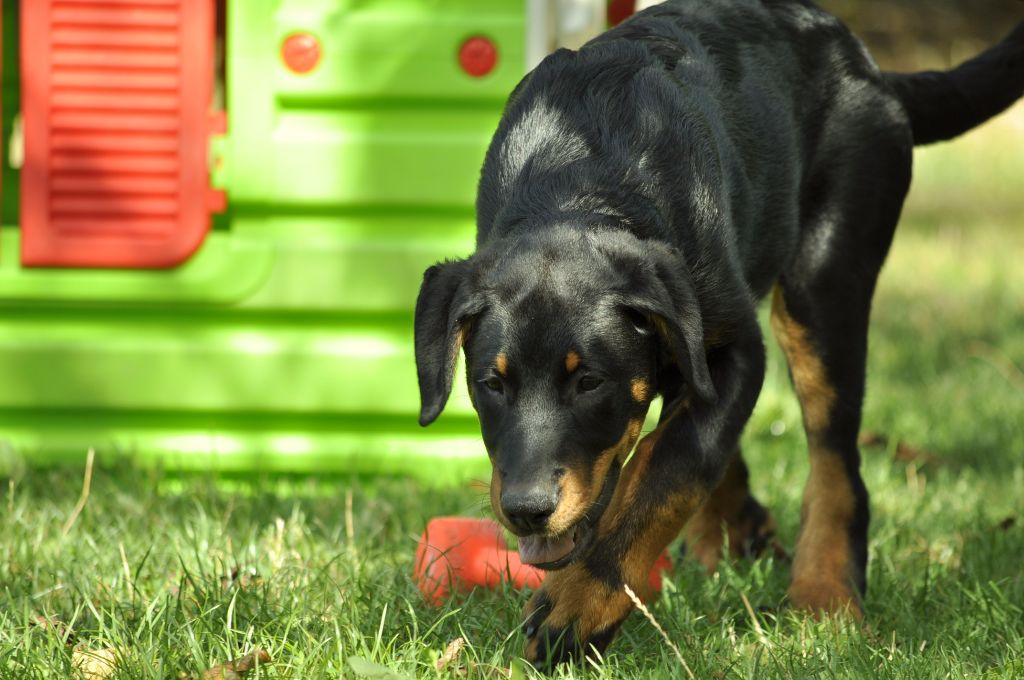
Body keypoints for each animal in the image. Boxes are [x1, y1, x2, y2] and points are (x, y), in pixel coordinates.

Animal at [411, 0, 1019, 667]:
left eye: (590, 382)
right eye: (490, 385)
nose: (525, 511)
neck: (578, 181)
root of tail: (866, 65)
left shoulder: (734, 350)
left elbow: (671, 469)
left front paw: (576, 606)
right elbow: (688, 446)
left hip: (825, 280)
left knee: (836, 461)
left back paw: (825, 595)